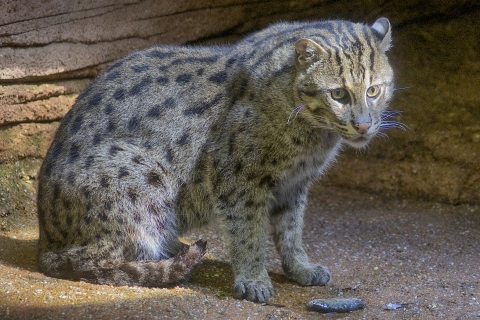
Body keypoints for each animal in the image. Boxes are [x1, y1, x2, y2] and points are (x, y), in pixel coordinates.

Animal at [37, 16, 396, 302]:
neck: (314, 134)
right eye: (338, 94)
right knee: (84, 260)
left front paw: (300, 267)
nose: (364, 125)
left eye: (374, 90)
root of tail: (44, 239)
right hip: (141, 175)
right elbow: (249, 233)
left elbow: (291, 231)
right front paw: (253, 279)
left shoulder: (294, 184)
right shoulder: (236, 177)